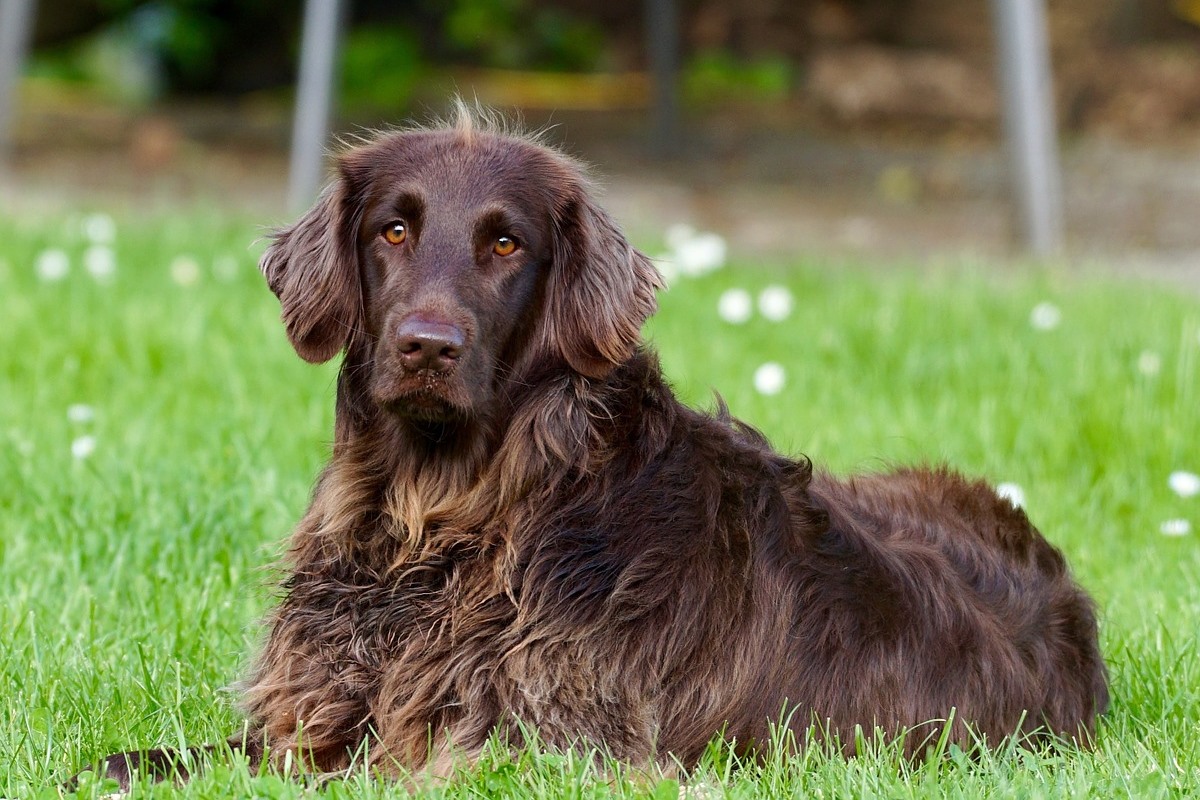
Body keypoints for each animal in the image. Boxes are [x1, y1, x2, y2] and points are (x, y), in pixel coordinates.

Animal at [79, 109, 1108, 791]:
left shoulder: (543, 750)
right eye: (393, 229)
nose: (426, 346)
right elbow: (159, 759)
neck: (449, 521)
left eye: (506, 244)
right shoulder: (317, 708)